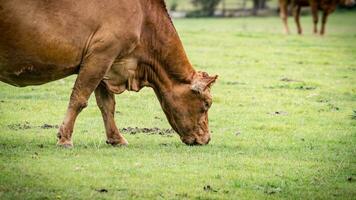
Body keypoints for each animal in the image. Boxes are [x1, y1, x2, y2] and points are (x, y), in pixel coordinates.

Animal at [0, 0, 217, 147]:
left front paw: (116, 138)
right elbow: (79, 99)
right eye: (206, 104)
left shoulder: (107, 64)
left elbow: (107, 105)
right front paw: (65, 139)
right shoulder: (101, 55)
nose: (207, 139)